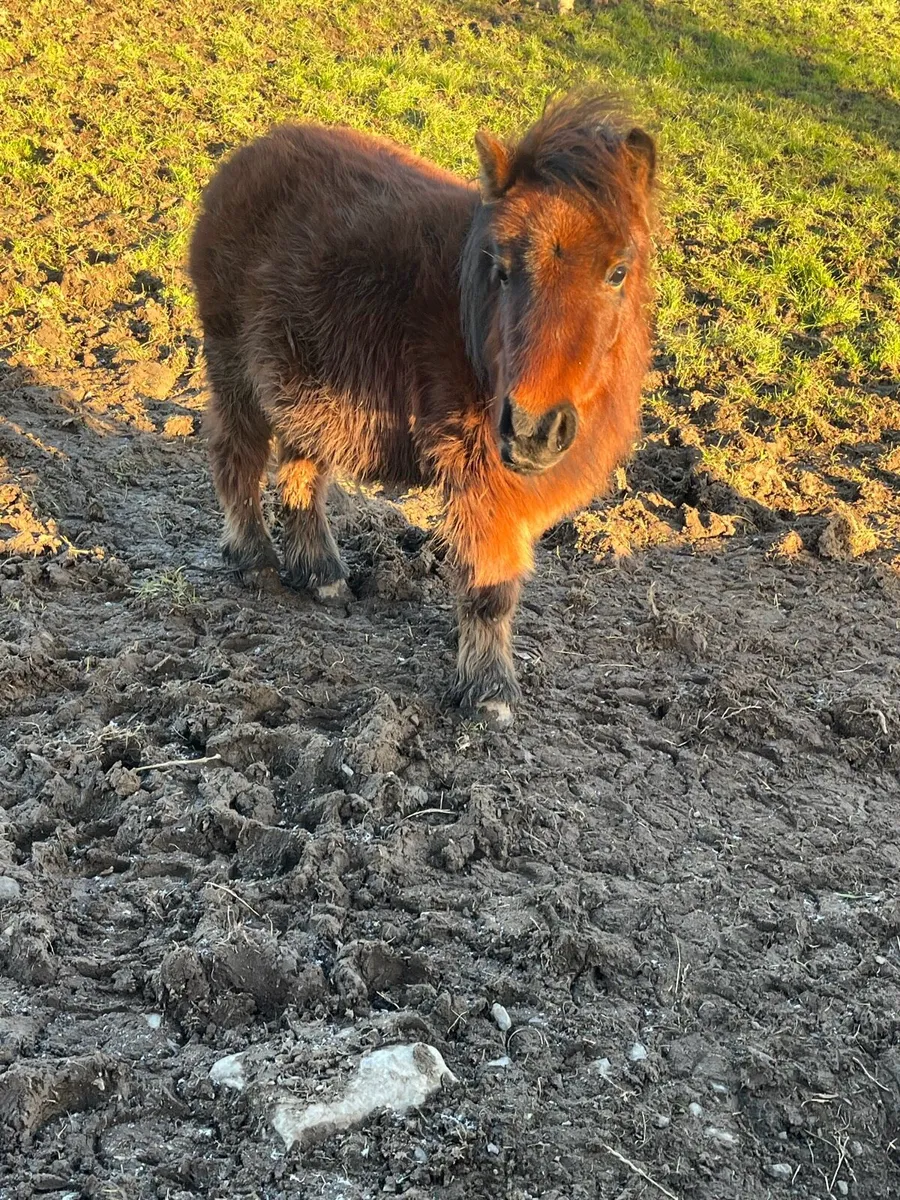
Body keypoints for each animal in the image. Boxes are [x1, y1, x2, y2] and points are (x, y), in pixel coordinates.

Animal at [188, 92, 656, 726]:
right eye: (501, 268)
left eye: (617, 271)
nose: (532, 430)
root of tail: (244, 159)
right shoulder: (483, 480)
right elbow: (489, 590)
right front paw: (489, 694)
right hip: (235, 366)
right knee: (235, 455)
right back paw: (256, 561)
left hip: (304, 385)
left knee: (301, 472)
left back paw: (322, 575)